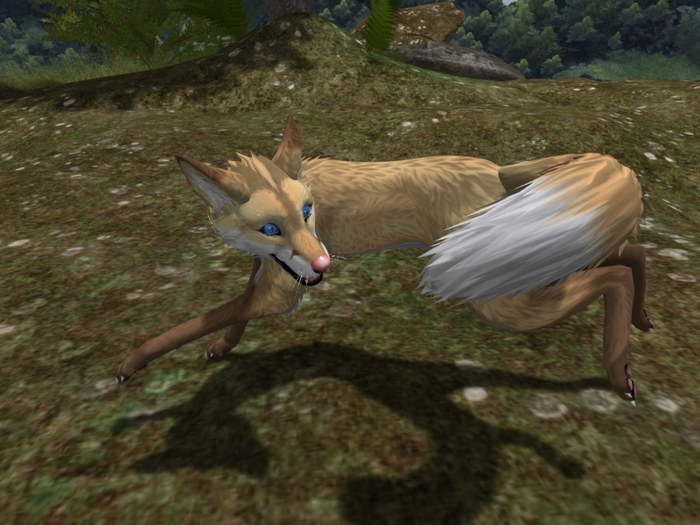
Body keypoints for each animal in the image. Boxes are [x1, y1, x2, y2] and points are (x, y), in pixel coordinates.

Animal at [116, 114, 653, 405]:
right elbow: (234, 309)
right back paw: (643, 319)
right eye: (271, 227)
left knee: (613, 276)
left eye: (307, 213)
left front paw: (131, 363)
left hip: (495, 293)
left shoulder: (281, 296)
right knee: (629, 251)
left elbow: (195, 322)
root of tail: (496, 171)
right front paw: (223, 347)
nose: (325, 267)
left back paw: (618, 372)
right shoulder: (274, 270)